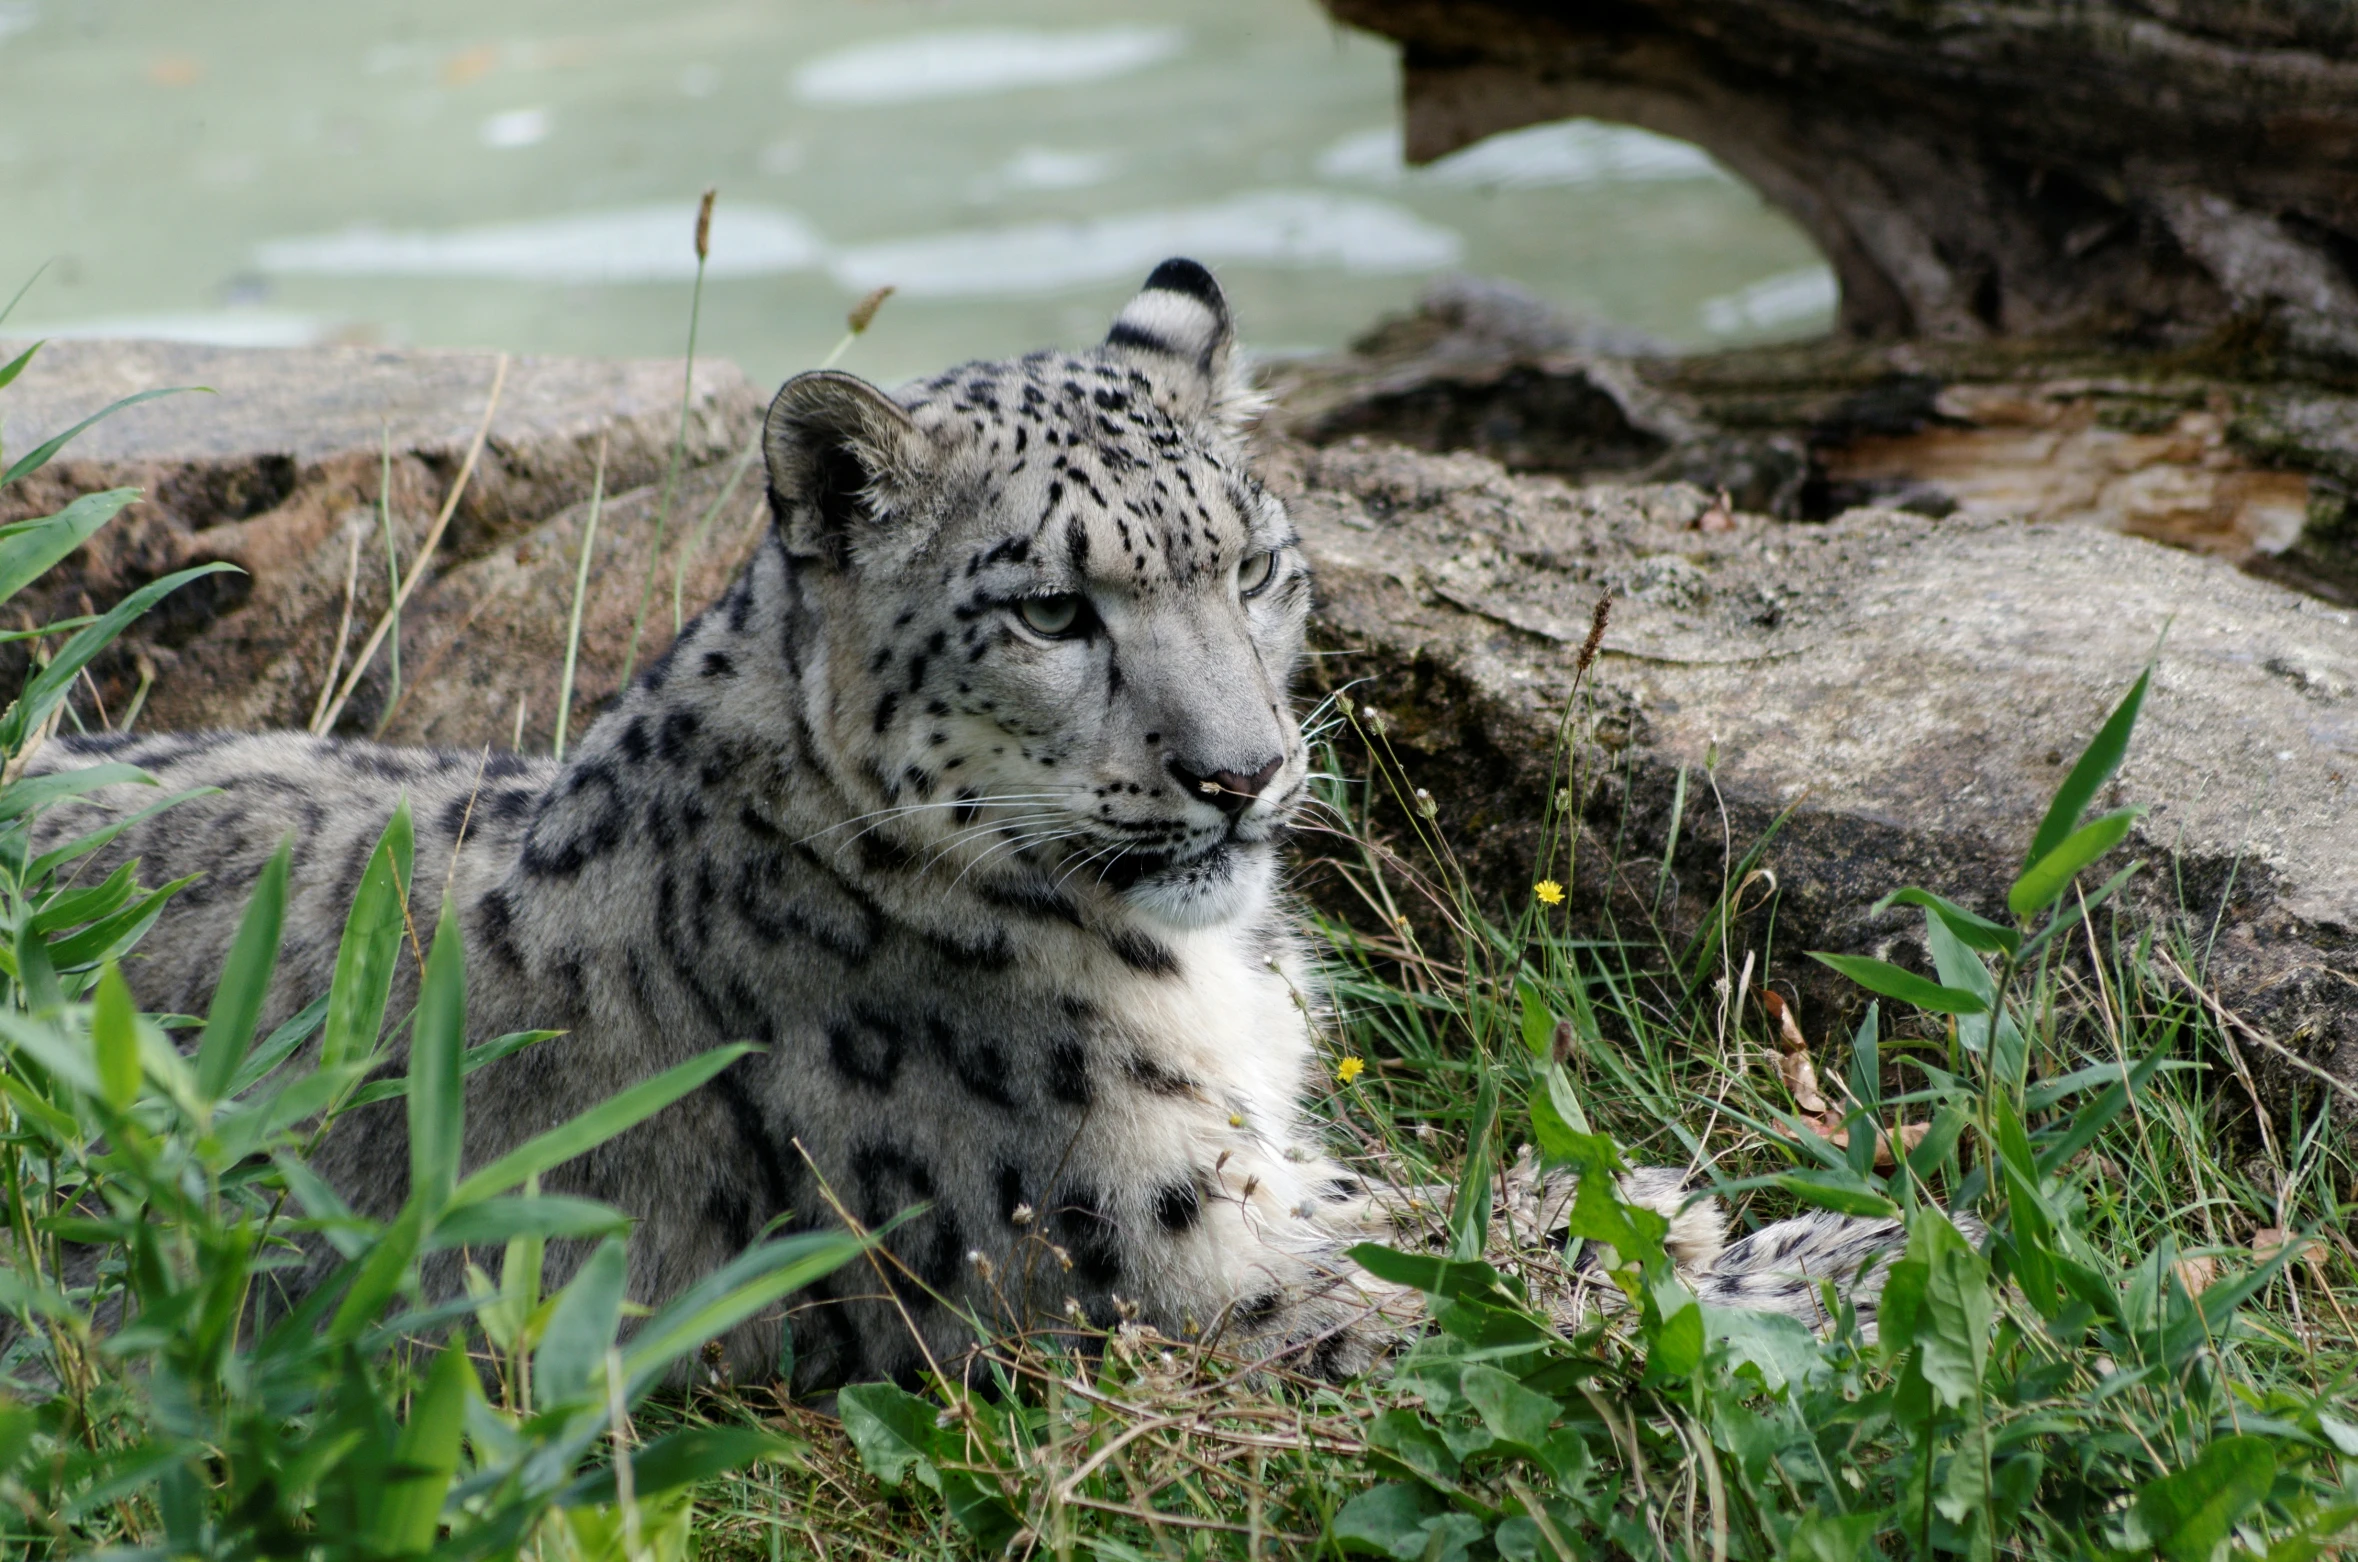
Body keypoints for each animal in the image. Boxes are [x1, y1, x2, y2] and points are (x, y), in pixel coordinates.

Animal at [32, 259, 1952, 1396]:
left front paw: (1659, 1202)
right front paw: (1823, 1259)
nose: (1239, 771)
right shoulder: (1163, 1258)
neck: (1201, 973)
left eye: (1253, 564)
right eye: (1048, 611)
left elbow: (1456, 1210)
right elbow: (1521, 1303)